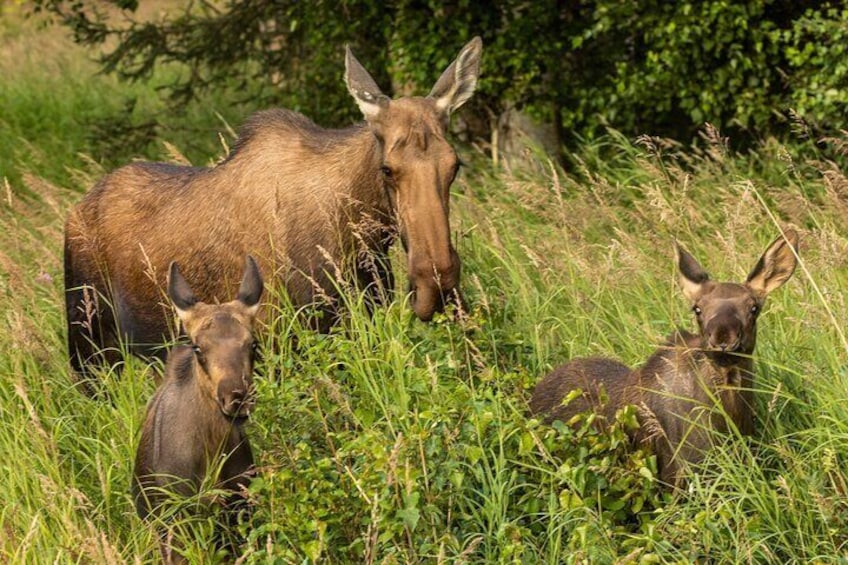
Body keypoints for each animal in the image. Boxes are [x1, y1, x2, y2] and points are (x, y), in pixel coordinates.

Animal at [66, 37, 484, 384]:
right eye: (387, 169)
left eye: (455, 164)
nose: (436, 283)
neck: (360, 238)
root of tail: (76, 209)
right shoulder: (276, 341)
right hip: (88, 345)